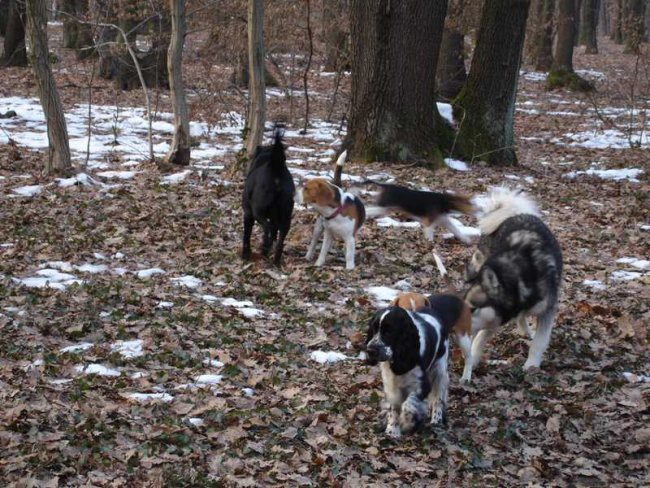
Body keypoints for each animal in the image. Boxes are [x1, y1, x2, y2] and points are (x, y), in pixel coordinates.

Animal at [460, 189, 560, 372]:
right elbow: (481, 337)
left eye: (472, 309)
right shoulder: (497, 316)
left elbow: (539, 342)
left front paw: (531, 365)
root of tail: (515, 213)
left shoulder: (547, 310)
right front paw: (473, 358)